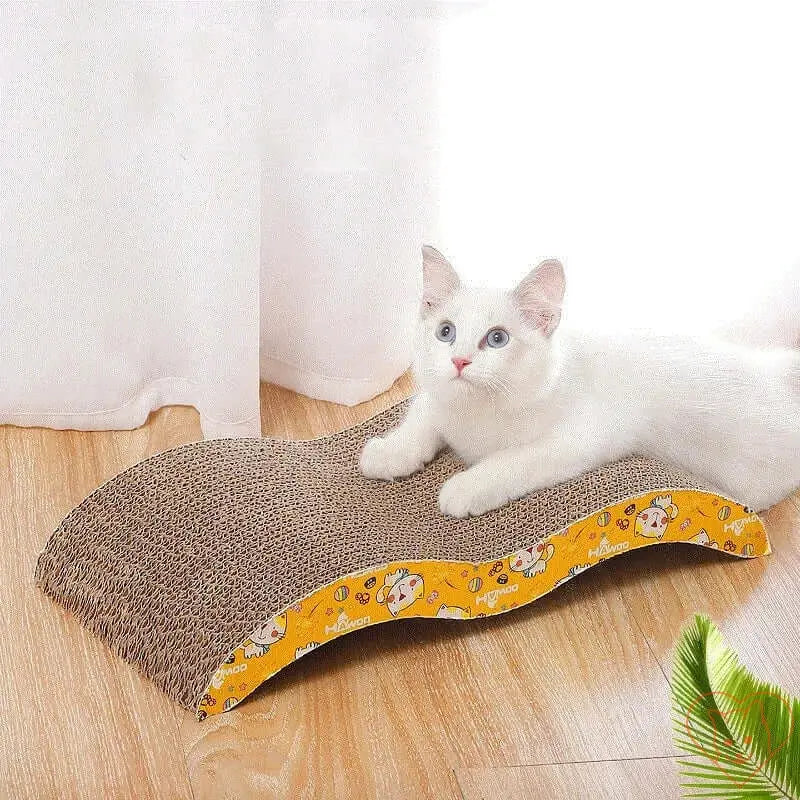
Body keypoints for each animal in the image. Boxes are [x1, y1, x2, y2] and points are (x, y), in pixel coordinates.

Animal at [362, 247, 800, 516]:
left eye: (498, 338)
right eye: (446, 332)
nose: (459, 361)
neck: (480, 410)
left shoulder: (576, 440)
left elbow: (508, 461)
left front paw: (464, 487)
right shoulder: (435, 396)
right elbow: (422, 420)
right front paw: (387, 454)